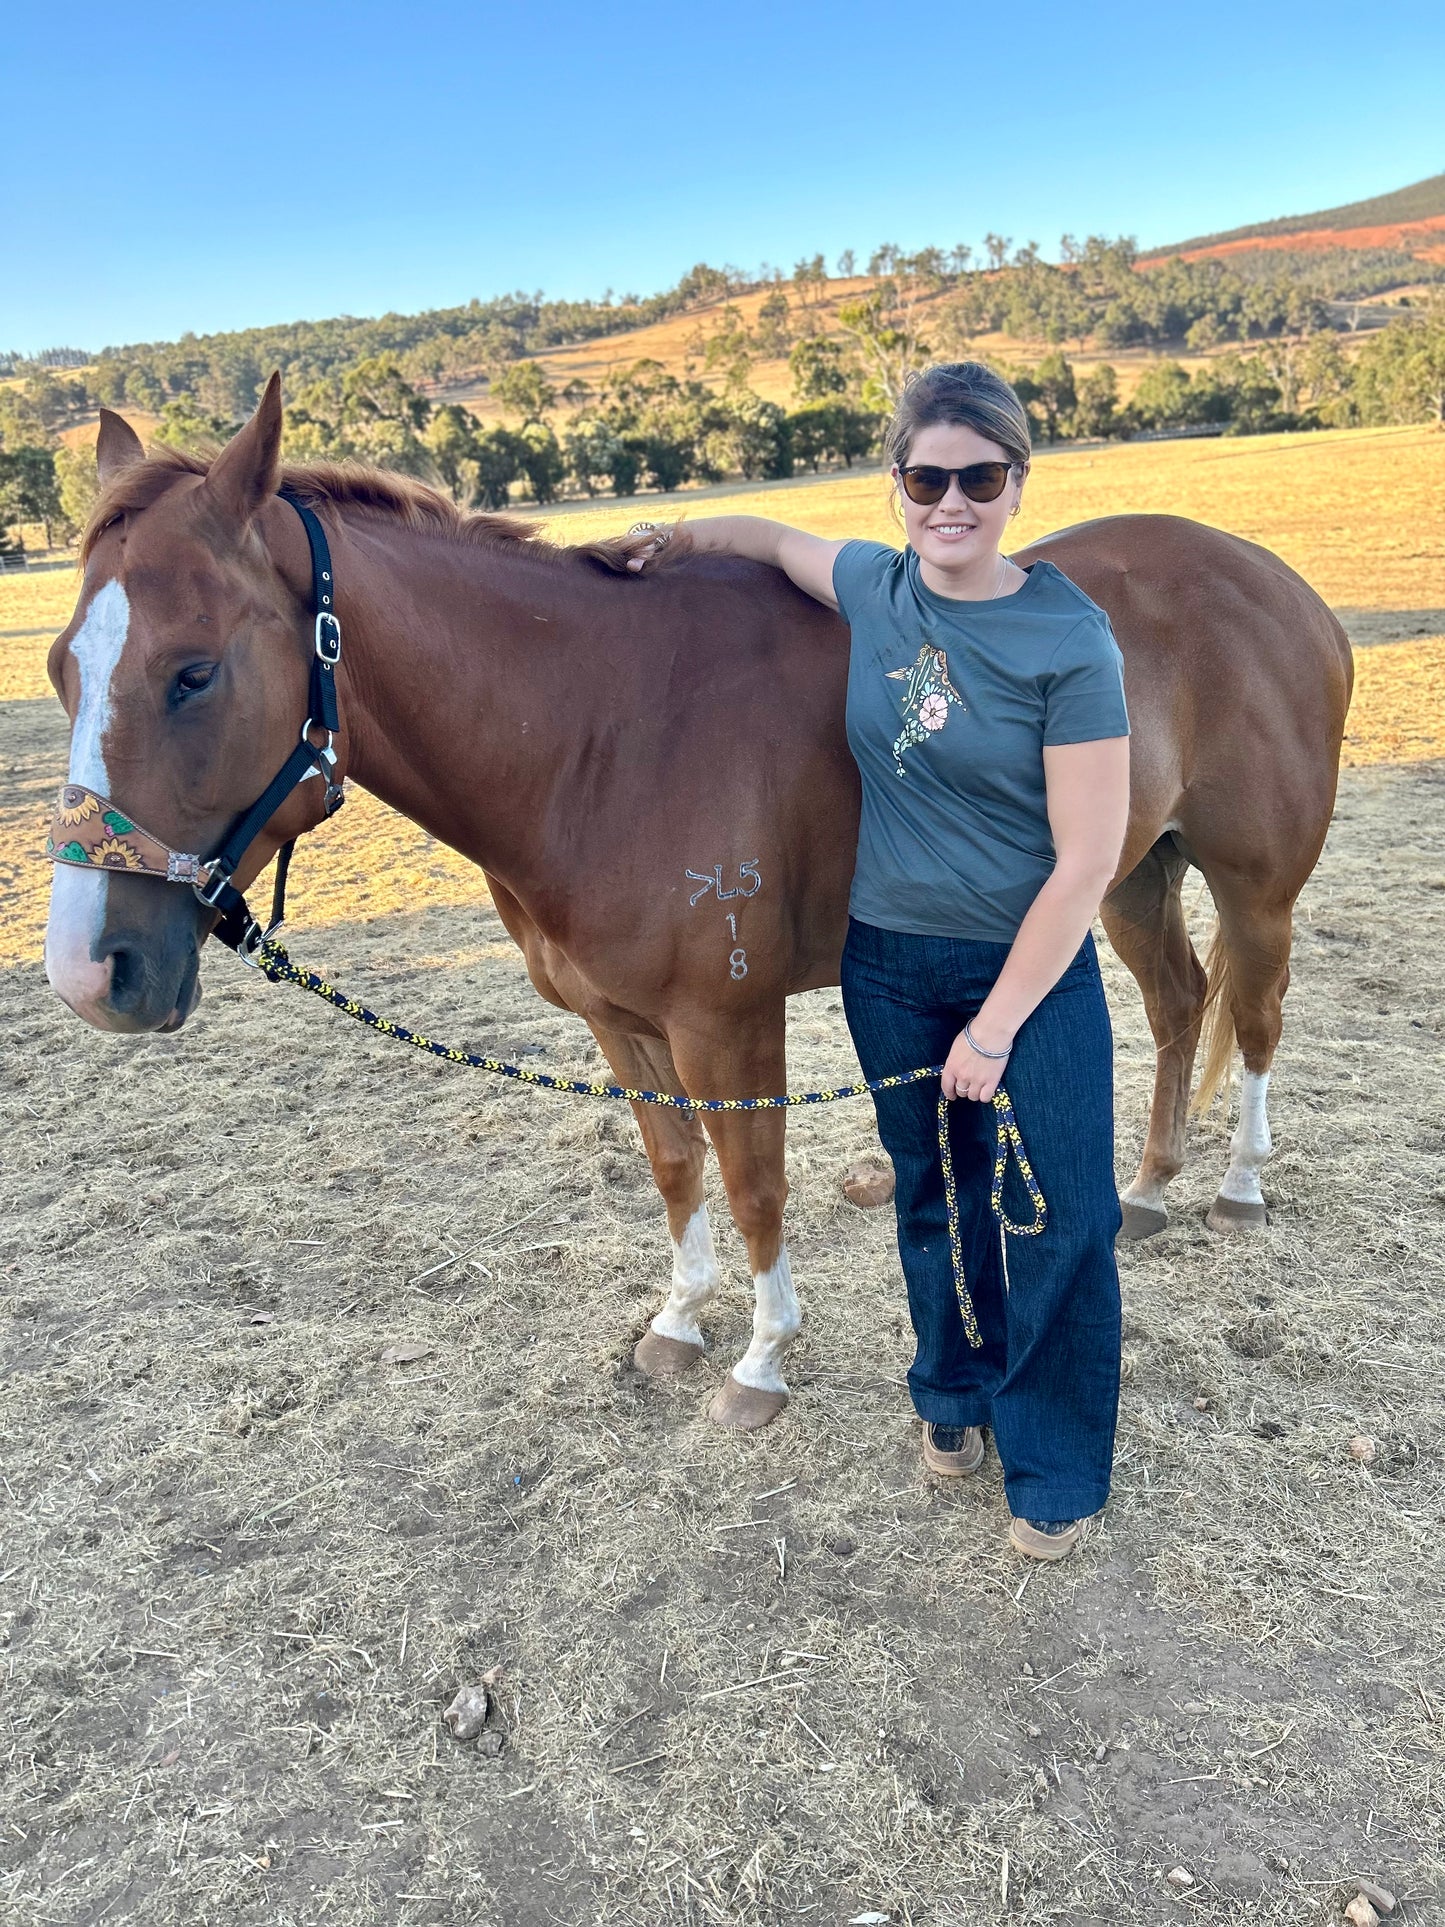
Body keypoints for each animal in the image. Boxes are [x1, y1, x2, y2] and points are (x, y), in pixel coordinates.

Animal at [45, 379, 1356, 1433]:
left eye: (193, 672)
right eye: (62, 668)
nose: (89, 971)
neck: (600, 736)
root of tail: (1279, 584)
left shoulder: (727, 1023)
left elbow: (750, 1179)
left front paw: (762, 1362)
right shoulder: (615, 1022)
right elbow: (675, 1166)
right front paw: (680, 1322)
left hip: (1252, 887)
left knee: (1252, 1015)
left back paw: (1236, 1185)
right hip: (1128, 874)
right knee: (1179, 1002)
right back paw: (1146, 1190)